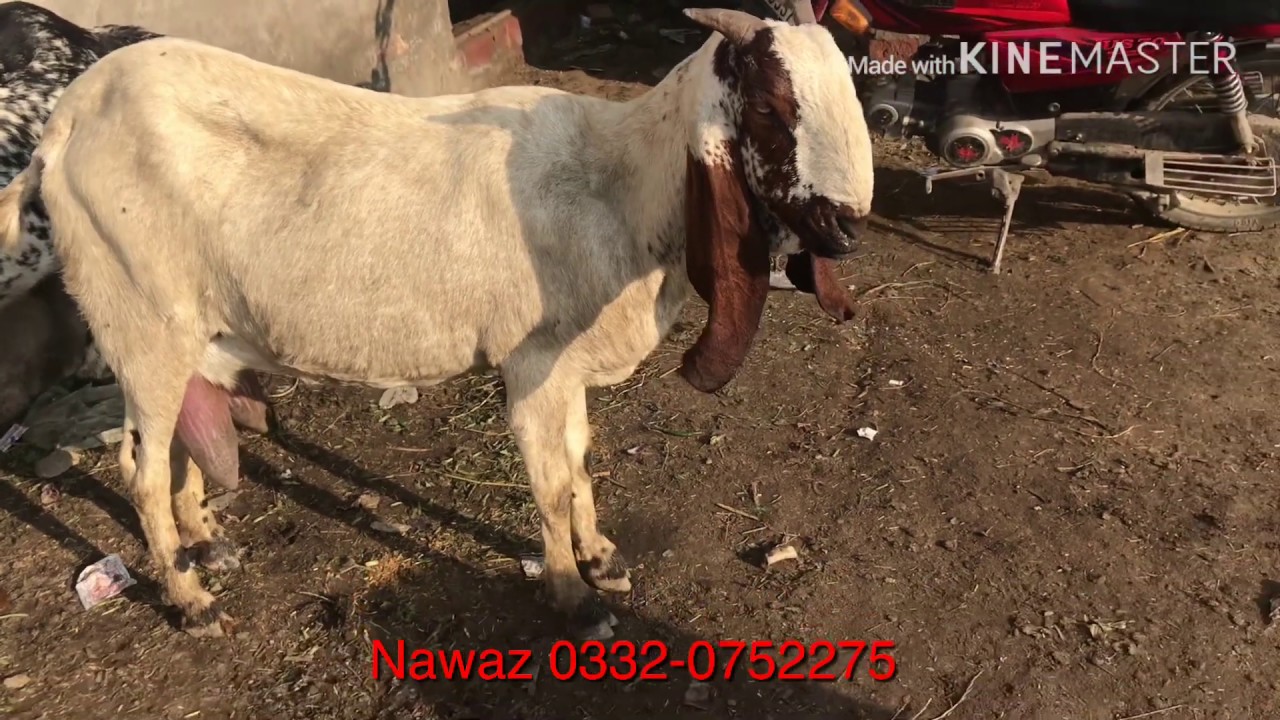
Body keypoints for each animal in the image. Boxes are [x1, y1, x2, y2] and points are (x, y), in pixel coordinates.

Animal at [0, 7, 874, 641]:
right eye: (771, 106)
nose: (846, 226)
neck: (622, 182)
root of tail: (64, 127)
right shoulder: (534, 363)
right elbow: (552, 483)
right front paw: (574, 595)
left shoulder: (567, 367)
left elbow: (580, 464)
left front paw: (601, 556)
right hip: (137, 321)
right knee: (140, 472)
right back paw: (190, 600)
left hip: (175, 334)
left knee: (177, 440)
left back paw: (205, 541)